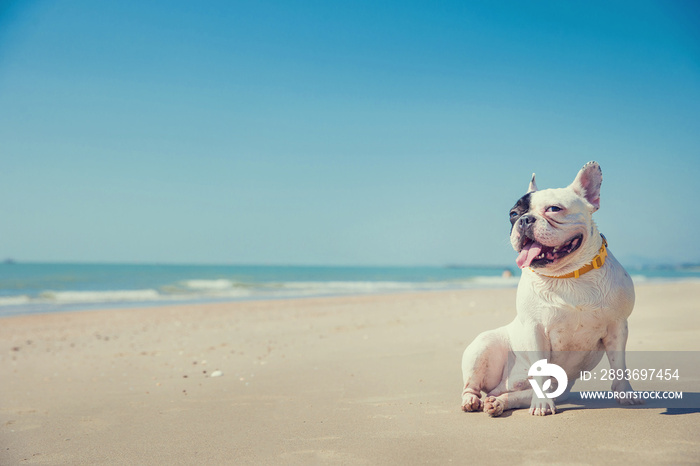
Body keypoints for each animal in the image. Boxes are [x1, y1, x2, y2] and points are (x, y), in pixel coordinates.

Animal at [462, 163, 644, 416]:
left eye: (554, 209)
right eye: (513, 214)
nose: (525, 220)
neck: (566, 275)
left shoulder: (617, 326)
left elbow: (619, 365)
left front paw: (626, 393)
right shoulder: (535, 328)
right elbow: (540, 367)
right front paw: (542, 405)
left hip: (557, 388)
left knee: (516, 395)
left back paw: (498, 402)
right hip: (483, 347)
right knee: (472, 385)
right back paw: (472, 400)